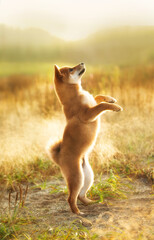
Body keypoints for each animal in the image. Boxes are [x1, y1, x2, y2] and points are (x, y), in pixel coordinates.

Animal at [47, 63, 122, 214]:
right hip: (77, 178)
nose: (82, 63)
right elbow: (101, 105)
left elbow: (98, 97)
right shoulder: (88, 114)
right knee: (71, 198)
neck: (74, 95)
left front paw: (110, 98)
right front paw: (114, 106)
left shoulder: (92, 104)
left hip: (87, 176)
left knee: (81, 195)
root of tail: (59, 158)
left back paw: (92, 203)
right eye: (71, 69)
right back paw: (78, 213)